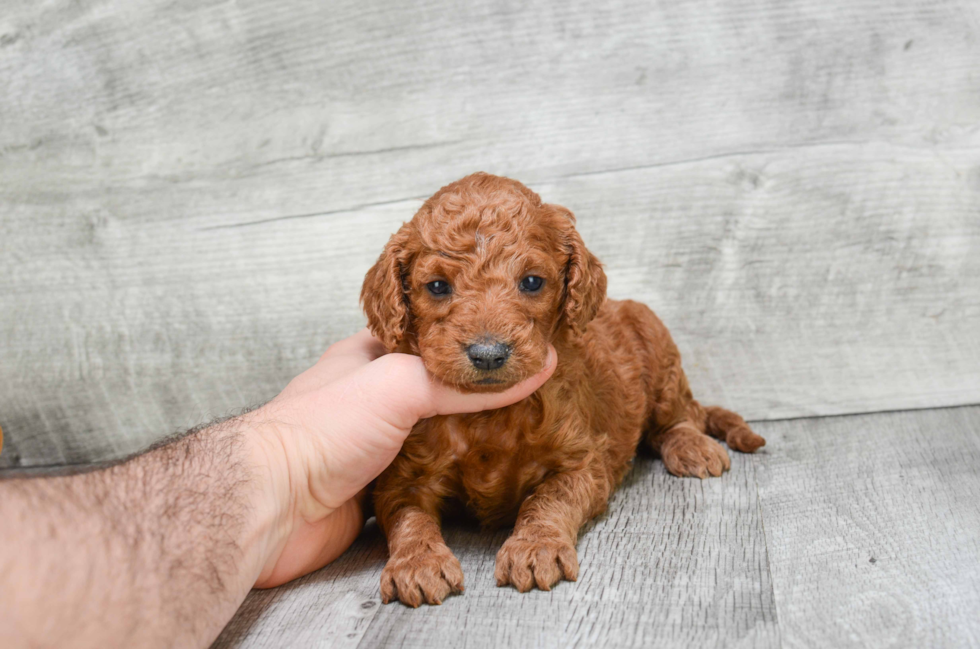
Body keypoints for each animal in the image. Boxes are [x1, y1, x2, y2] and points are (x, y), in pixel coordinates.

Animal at [360, 172, 764, 608]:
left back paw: (692, 447)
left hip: (659, 350)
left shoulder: (582, 462)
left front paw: (534, 548)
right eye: (437, 286)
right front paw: (417, 563)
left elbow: (549, 499)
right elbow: (408, 514)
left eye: (532, 282)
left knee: (679, 416)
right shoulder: (403, 476)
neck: (489, 415)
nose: (488, 354)